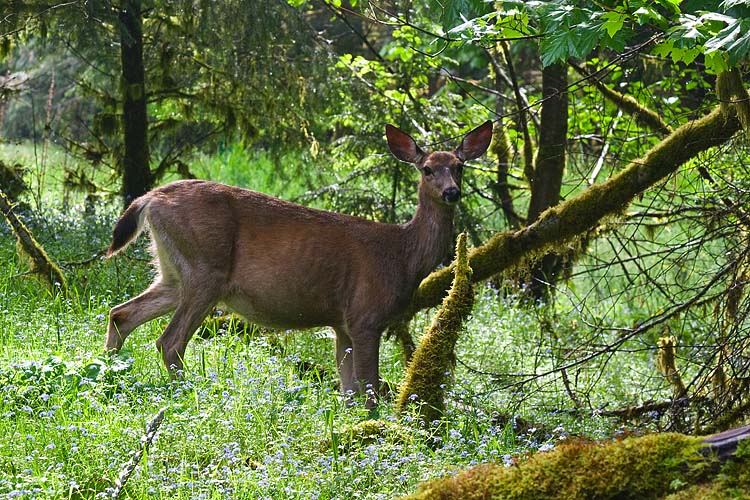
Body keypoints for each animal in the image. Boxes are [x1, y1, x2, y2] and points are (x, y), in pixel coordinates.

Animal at [104, 121, 494, 406]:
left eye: (459, 167)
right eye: (427, 169)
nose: (452, 192)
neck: (402, 255)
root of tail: (150, 198)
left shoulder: (341, 323)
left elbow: (348, 390)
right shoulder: (366, 316)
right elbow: (368, 390)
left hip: (172, 272)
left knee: (121, 313)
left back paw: (107, 378)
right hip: (205, 270)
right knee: (169, 341)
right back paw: (188, 396)